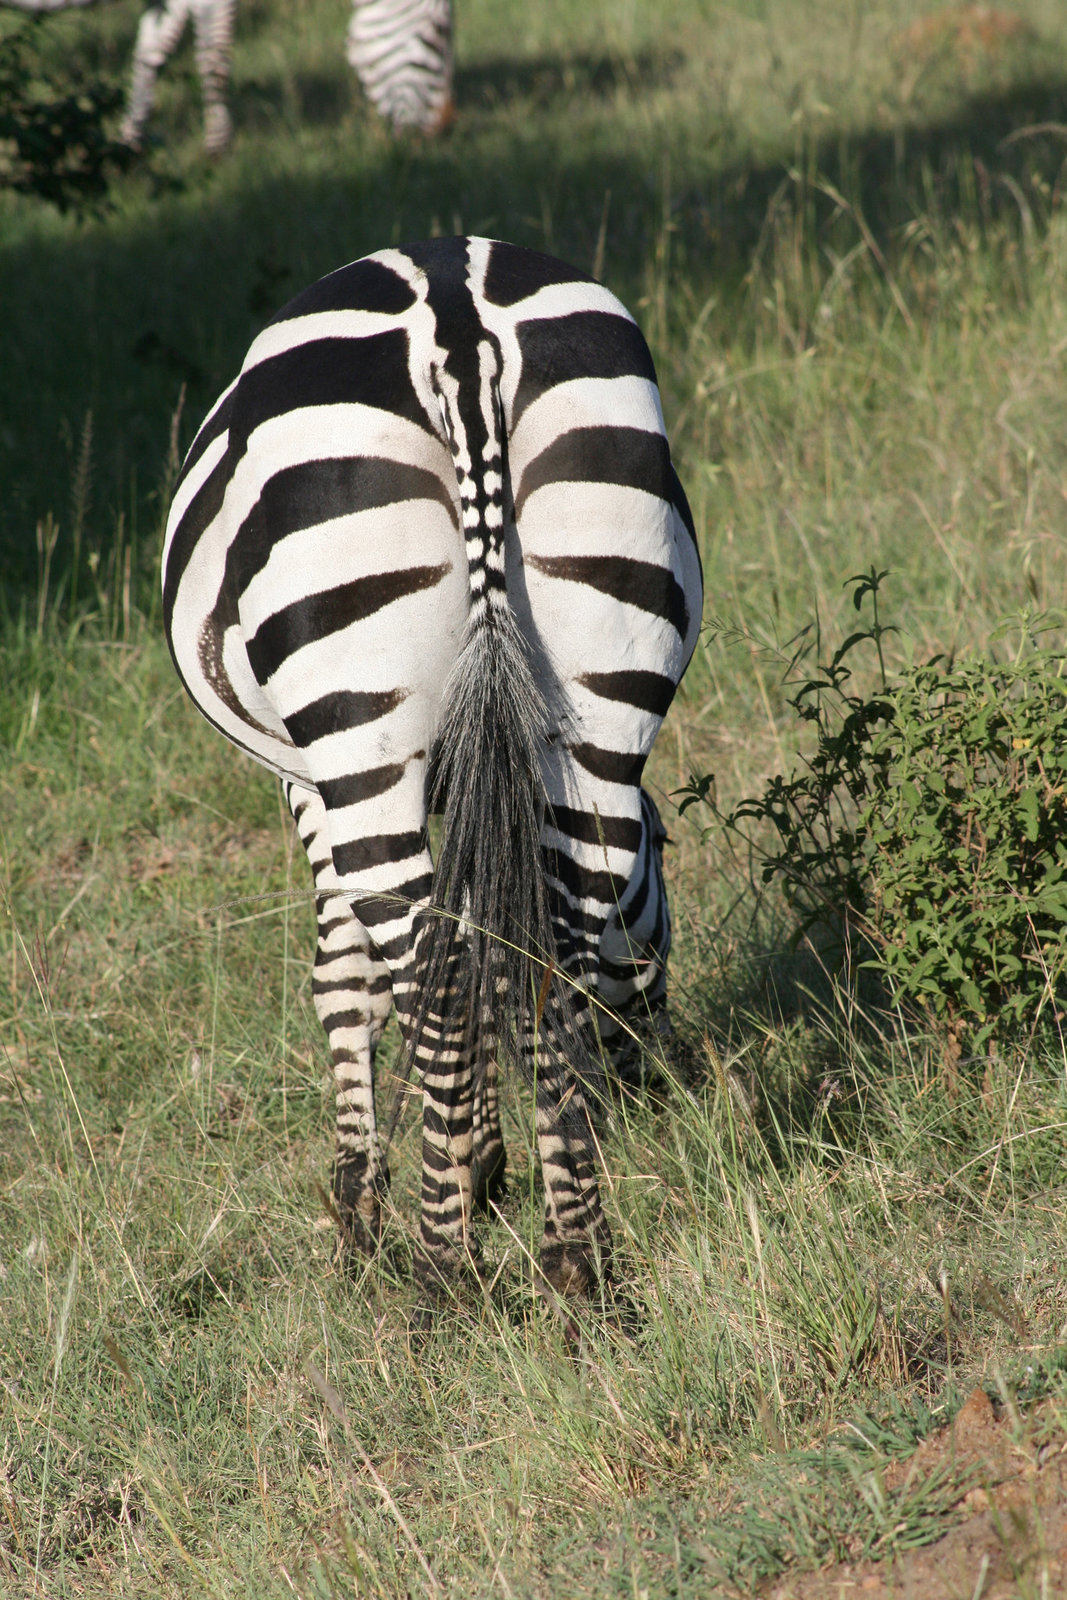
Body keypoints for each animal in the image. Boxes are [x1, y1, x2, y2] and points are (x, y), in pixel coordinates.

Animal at [0, 0, 454, 152]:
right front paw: (219, 146)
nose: (443, 131)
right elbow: (214, 52)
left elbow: (154, 48)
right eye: (437, 34)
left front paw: (129, 144)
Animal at [163, 233, 703, 1312]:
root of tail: (457, 319)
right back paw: (578, 1262)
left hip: (356, 709)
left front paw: (361, 1205)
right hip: (598, 676)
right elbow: (489, 936)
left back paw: (439, 1276)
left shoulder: (307, 779)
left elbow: (349, 968)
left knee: (434, 972)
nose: (665, 1087)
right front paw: (484, 1160)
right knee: (553, 952)